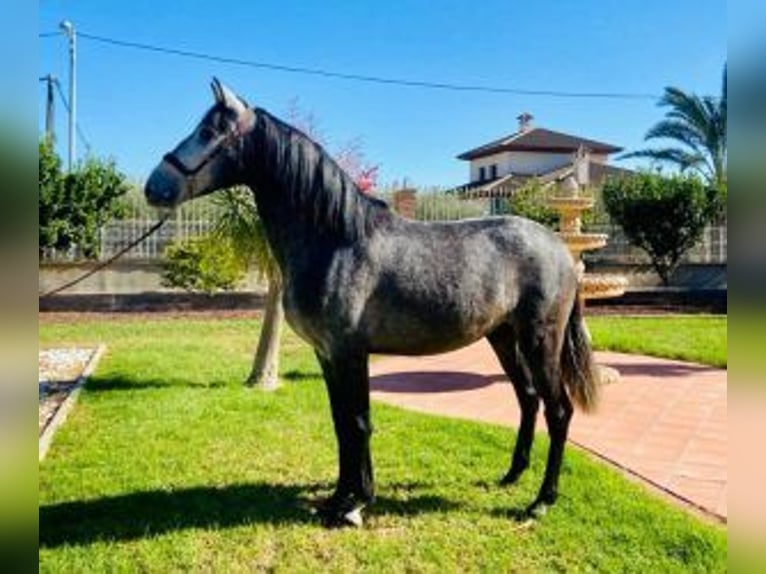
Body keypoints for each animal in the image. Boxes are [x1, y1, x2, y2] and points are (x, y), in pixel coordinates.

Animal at [145, 79, 599, 528]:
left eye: (209, 131)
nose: (154, 187)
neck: (337, 241)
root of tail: (560, 249)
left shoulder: (350, 352)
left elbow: (359, 422)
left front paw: (356, 503)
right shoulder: (327, 354)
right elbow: (341, 423)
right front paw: (336, 498)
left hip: (541, 340)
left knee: (558, 411)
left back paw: (540, 501)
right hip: (503, 337)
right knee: (528, 398)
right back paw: (512, 475)